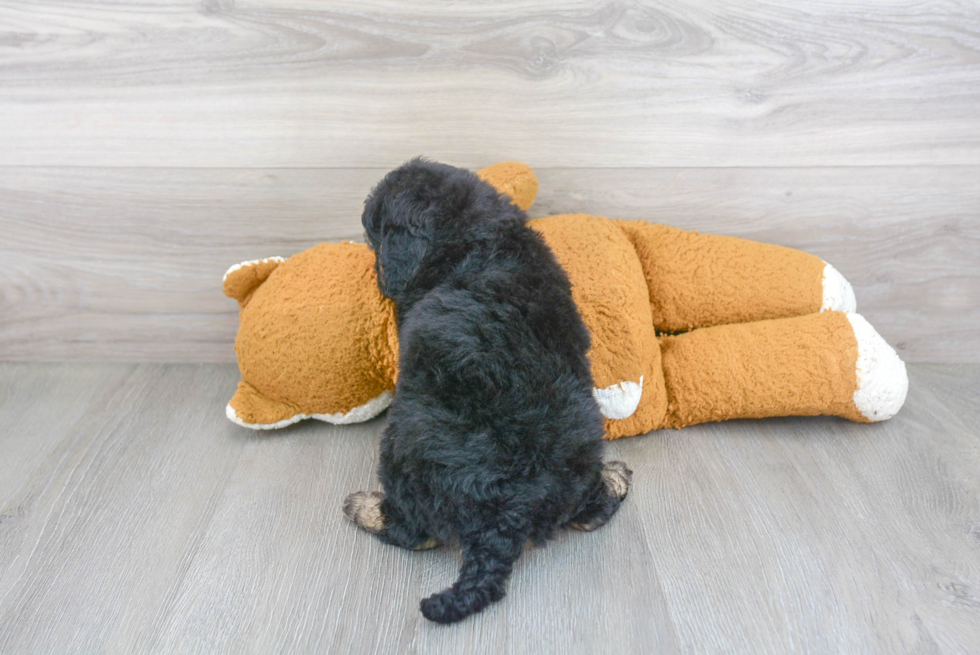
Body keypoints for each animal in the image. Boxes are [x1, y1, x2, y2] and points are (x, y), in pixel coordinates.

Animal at [344, 159, 636, 624]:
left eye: (373, 229)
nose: (373, 261)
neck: (477, 233)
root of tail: (507, 519)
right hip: (580, 454)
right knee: (591, 510)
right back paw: (614, 478)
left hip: (402, 447)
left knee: (414, 532)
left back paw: (364, 509)